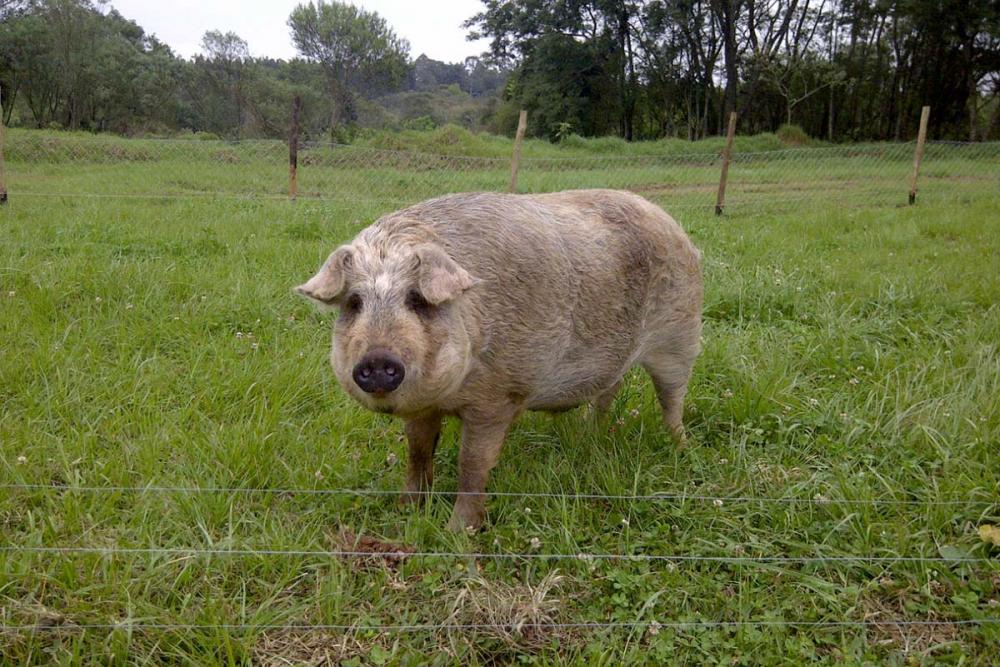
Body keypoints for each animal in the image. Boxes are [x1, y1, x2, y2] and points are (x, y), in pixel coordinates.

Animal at [295, 189, 702, 531]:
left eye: (417, 300)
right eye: (354, 303)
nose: (378, 358)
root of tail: (666, 218)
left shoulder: (498, 398)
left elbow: (472, 464)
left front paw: (458, 531)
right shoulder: (421, 406)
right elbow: (417, 452)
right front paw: (406, 511)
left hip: (682, 335)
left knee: (672, 398)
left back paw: (680, 448)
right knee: (608, 391)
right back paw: (590, 433)